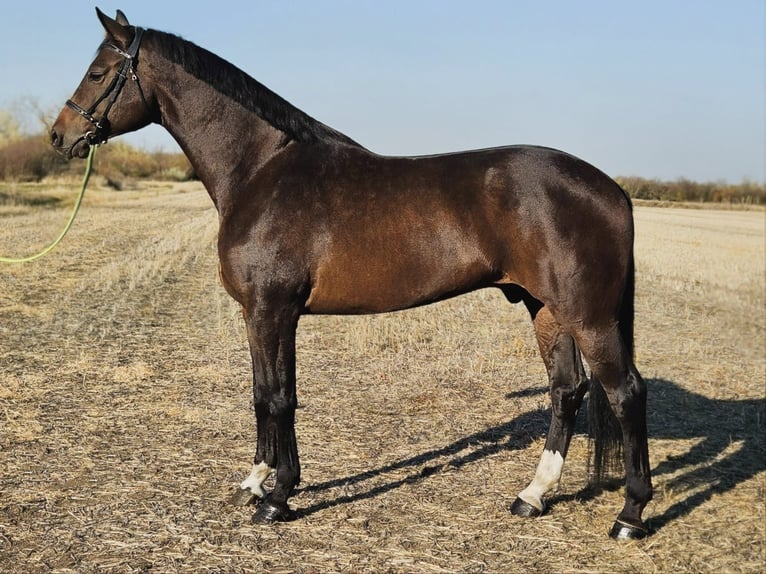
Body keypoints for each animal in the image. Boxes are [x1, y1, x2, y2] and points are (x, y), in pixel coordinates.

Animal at [50, 9, 652, 539]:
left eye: (98, 72)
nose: (59, 136)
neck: (263, 171)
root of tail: (612, 189)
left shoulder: (273, 309)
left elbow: (279, 398)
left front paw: (278, 498)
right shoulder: (261, 314)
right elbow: (264, 392)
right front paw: (257, 480)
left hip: (589, 317)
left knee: (625, 392)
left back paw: (630, 515)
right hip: (545, 308)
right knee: (567, 389)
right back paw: (533, 496)